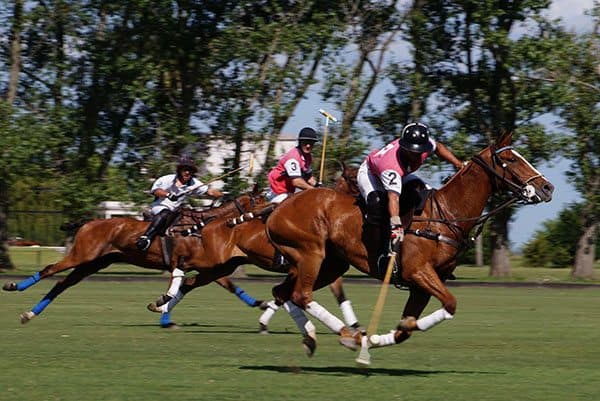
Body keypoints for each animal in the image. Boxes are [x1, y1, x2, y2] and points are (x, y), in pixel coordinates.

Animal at [3, 190, 267, 325]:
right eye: (261, 200)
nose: (270, 214)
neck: (203, 226)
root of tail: (89, 222)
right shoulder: (188, 263)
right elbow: (177, 286)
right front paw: (162, 307)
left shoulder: (209, 267)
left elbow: (229, 286)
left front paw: (259, 303)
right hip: (81, 255)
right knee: (49, 269)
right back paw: (13, 286)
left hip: (93, 263)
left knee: (61, 284)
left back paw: (30, 313)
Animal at [265, 132, 554, 356]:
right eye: (511, 159)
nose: (547, 188)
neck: (446, 215)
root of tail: (277, 210)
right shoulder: (418, 272)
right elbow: (449, 304)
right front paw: (370, 340)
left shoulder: (424, 283)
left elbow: (407, 326)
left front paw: (377, 339)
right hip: (311, 253)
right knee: (300, 295)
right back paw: (350, 334)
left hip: (331, 264)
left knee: (284, 292)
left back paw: (316, 337)